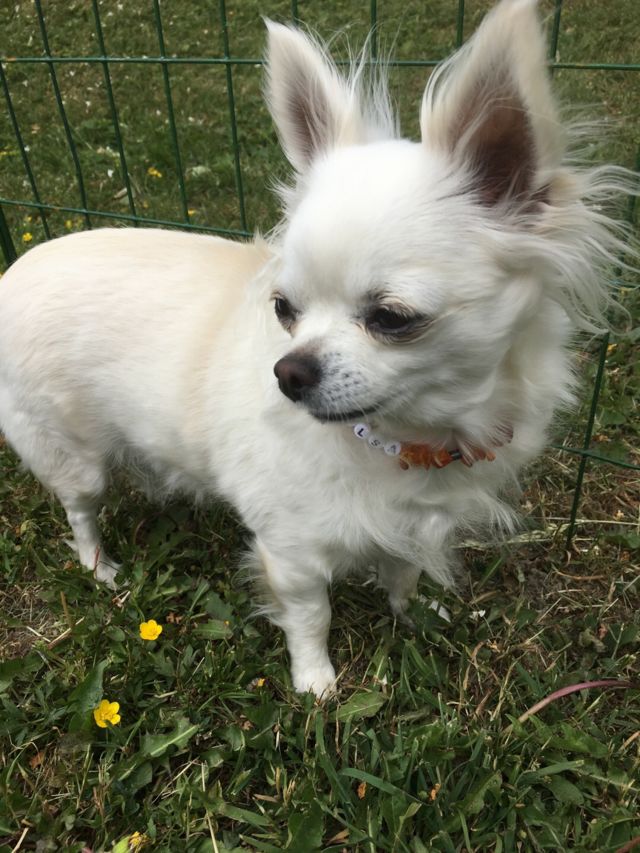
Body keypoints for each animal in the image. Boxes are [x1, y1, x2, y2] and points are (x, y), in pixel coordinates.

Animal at [0, 0, 635, 695]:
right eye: (284, 310)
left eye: (392, 318)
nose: (288, 372)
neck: (408, 440)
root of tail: (15, 269)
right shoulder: (292, 552)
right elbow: (312, 616)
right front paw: (316, 684)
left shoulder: (412, 524)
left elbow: (403, 573)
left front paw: (412, 618)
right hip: (70, 456)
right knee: (80, 511)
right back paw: (100, 567)